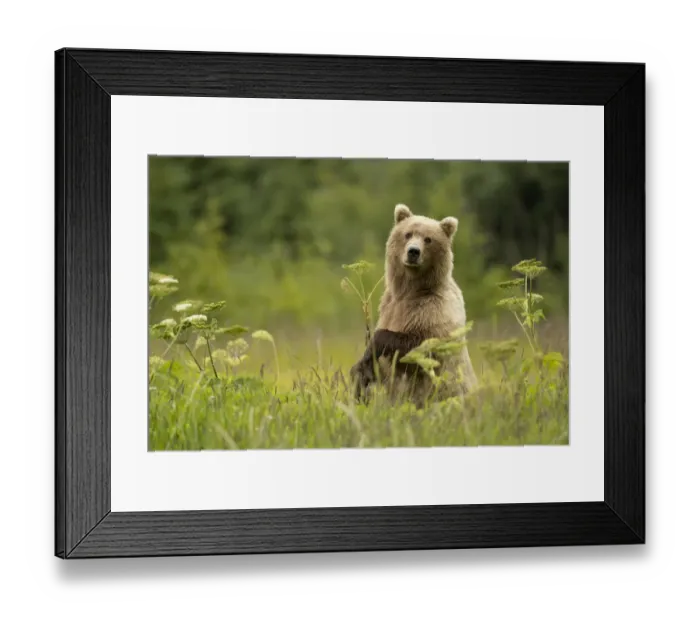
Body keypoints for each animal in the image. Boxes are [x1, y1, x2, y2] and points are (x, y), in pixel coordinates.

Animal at [350, 203, 479, 405]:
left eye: (428, 239)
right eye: (408, 234)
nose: (413, 252)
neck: (410, 290)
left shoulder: (435, 309)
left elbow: (423, 347)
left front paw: (371, 350)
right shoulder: (389, 306)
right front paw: (361, 373)